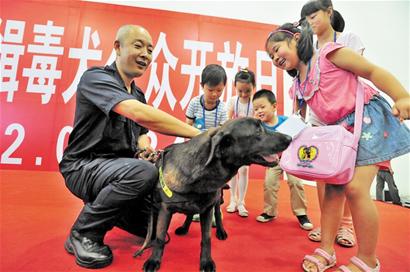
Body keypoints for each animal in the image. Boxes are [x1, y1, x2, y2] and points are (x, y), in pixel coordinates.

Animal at [138, 117, 292, 272]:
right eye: (258, 130)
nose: (290, 138)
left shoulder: (207, 208)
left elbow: (206, 239)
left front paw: (206, 261)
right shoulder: (165, 209)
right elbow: (159, 237)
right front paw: (154, 260)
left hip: (216, 201)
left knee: (217, 215)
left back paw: (220, 231)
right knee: (189, 214)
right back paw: (185, 228)